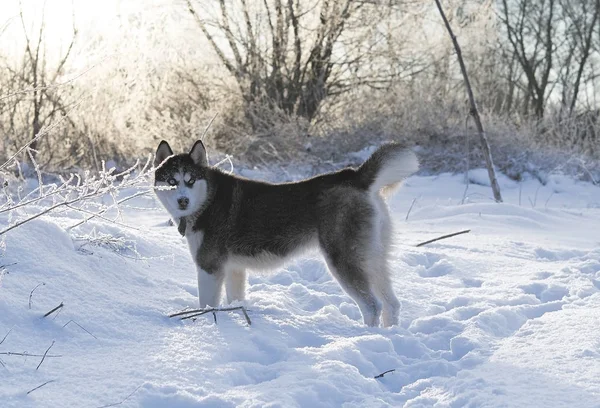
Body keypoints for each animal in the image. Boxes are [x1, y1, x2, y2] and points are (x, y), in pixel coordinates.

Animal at [152, 141, 420, 328]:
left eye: (190, 180)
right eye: (172, 181)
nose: (183, 201)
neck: (208, 199)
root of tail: (354, 176)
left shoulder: (209, 268)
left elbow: (207, 304)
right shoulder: (234, 269)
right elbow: (236, 300)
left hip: (344, 260)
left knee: (372, 306)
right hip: (373, 258)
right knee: (391, 304)